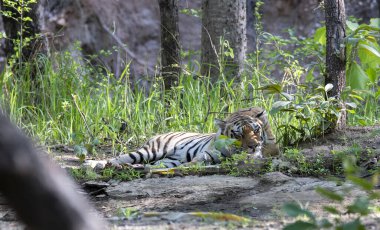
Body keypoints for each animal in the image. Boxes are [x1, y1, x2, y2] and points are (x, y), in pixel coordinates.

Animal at [86, 107, 280, 168]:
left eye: (256, 130)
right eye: (238, 134)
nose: (253, 146)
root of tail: (159, 133)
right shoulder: (209, 153)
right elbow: (198, 160)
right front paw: (190, 165)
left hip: (165, 161)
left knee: (150, 165)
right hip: (151, 151)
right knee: (119, 158)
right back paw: (96, 165)